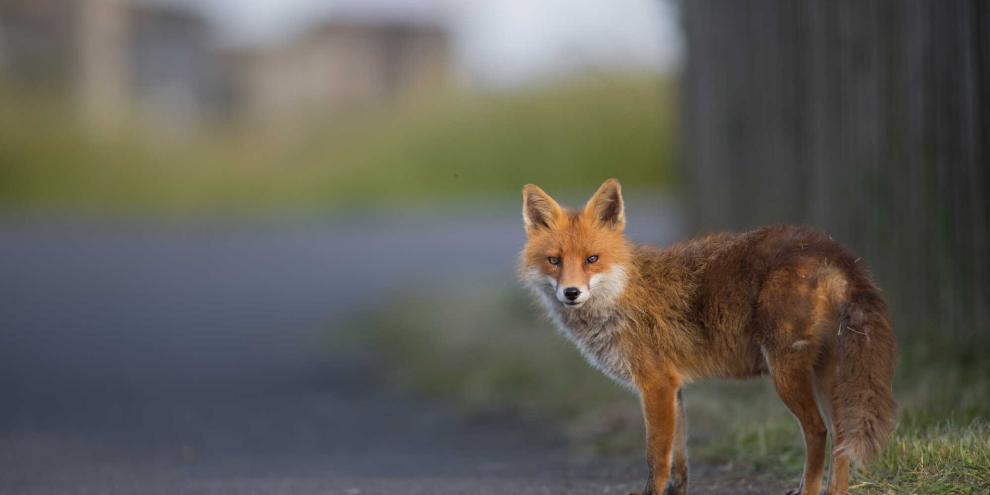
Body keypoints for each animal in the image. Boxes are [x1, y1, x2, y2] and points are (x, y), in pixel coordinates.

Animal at [519, 179, 897, 495]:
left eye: (592, 259)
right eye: (554, 261)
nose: (571, 293)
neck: (622, 294)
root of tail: (827, 248)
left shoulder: (655, 385)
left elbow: (656, 459)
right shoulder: (674, 387)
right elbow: (679, 461)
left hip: (786, 372)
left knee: (818, 432)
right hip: (824, 373)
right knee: (841, 436)